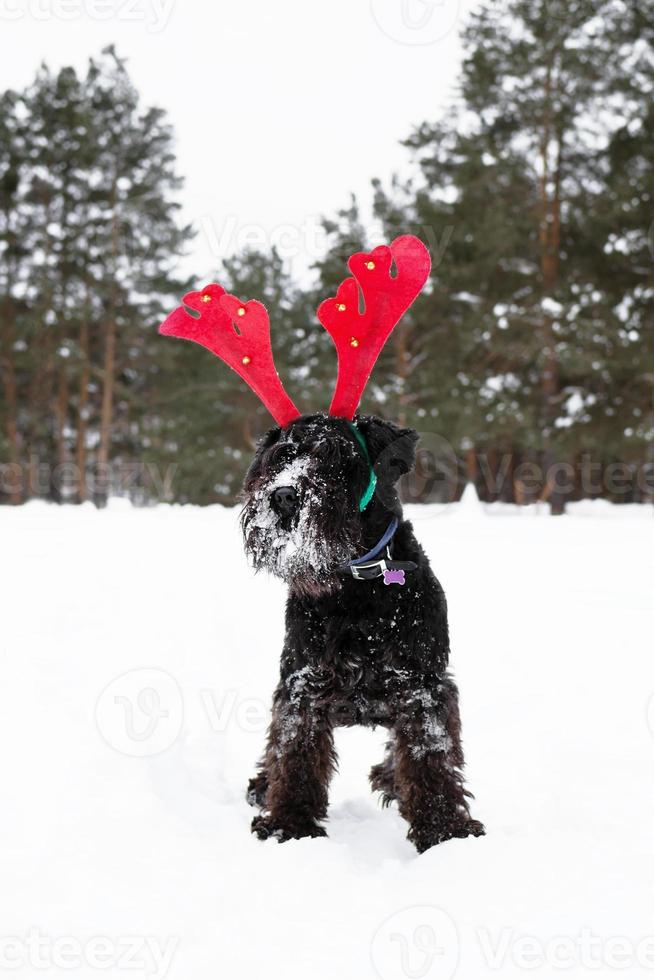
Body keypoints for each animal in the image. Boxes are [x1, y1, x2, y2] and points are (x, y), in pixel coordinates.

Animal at [243, 412, 484, 848]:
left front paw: (444, 830)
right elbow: (295, 752)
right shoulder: (303, 684)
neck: (356, 588)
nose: (284, 495)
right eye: (280, 457)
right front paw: (290, 823)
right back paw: (262, 787)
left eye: (337, 458)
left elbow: (430, 754)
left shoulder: (422, 686)